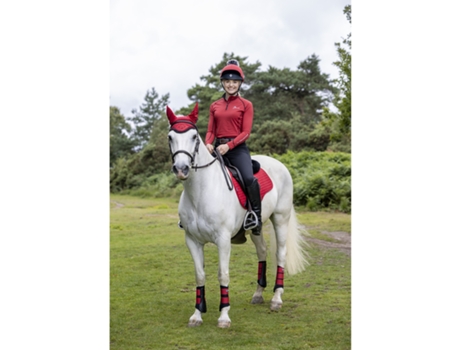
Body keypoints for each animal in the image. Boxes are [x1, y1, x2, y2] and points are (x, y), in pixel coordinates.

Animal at [166, 104, 310, 328]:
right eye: (170, 137)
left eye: (194, 137)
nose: (181, 169)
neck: (201, 192)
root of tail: (279, 164)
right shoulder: (192, 240)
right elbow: (199, 275)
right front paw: (197, 314)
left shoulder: (223, 240)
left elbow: (223, 274)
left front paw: (224, 316)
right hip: (256, 228)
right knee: (262, 252)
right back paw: (258, 294)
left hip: (281, 219)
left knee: (280, 254)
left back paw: (276, 299)